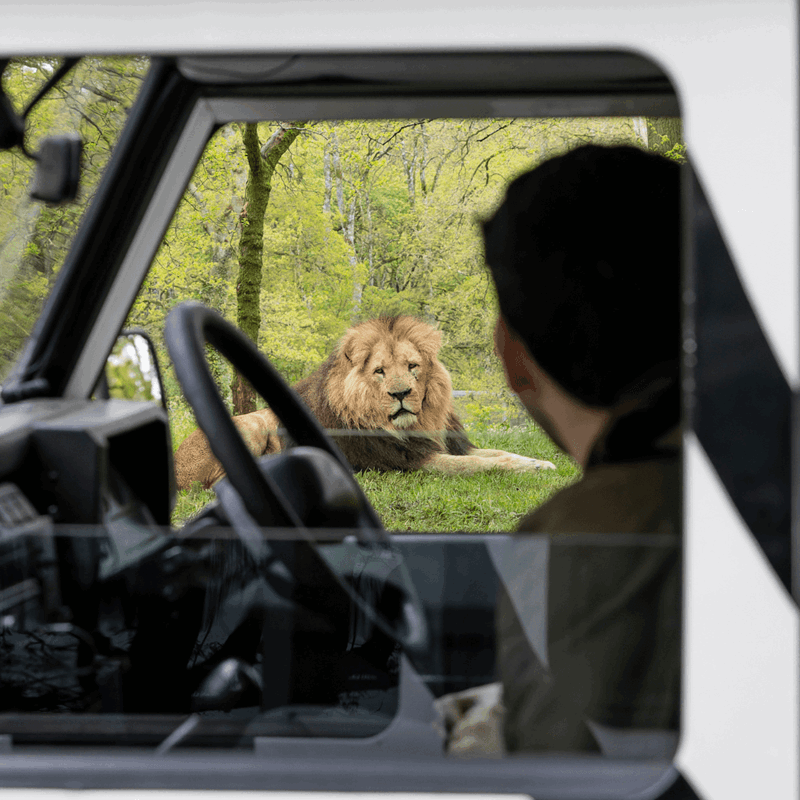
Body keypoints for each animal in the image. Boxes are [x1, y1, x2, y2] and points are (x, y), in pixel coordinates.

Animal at [174, 316, 556, 491]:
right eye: (380, 371)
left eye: (412, 366)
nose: (400, 394)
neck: (420, 423)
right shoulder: (411, 462)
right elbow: (481, 465)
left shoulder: (446, 444)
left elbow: (500, 454)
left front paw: (542, 464)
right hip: (251, 423)